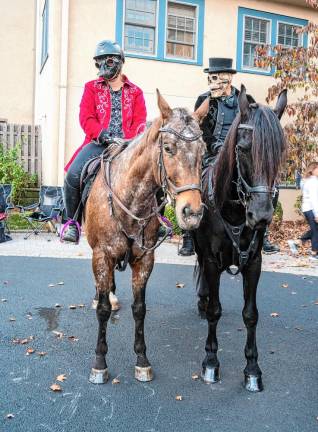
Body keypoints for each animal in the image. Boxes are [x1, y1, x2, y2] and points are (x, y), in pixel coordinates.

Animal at [85, 89, 209, 384]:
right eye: (168, 148)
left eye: (203, 151)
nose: (192, 212)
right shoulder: (102, 255)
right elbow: (102, 310)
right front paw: (100, 363)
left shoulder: (144, 260)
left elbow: (140, 309)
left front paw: (142, 360)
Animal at [194, 84, 288, 392]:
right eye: (243, 149)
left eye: (280, 152)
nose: (261, 215)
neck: (234, 210)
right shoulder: (212, 261)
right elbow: (215, 310)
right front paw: (211, 362)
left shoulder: (253, 263)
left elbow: (251, 315)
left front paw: (252, 369)